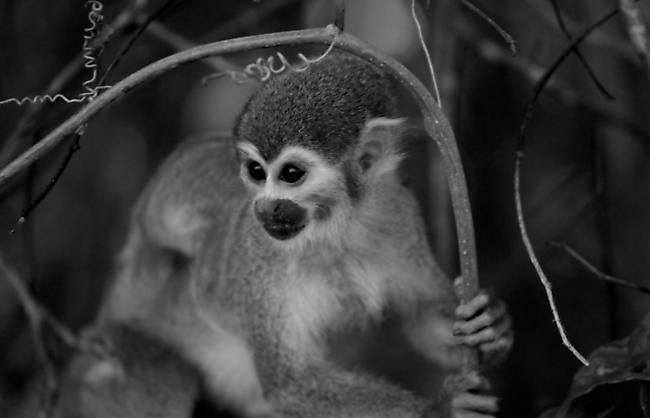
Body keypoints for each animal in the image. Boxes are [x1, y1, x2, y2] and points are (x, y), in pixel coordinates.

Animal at [93, 51, 513, 418]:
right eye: (256, 171)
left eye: (291, 174)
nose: (265, 208)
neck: (337, 226)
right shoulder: (260, 257)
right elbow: (291, 385)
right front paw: (439, 409)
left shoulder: (399, 212)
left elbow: (418, 315)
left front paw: (491, 324)